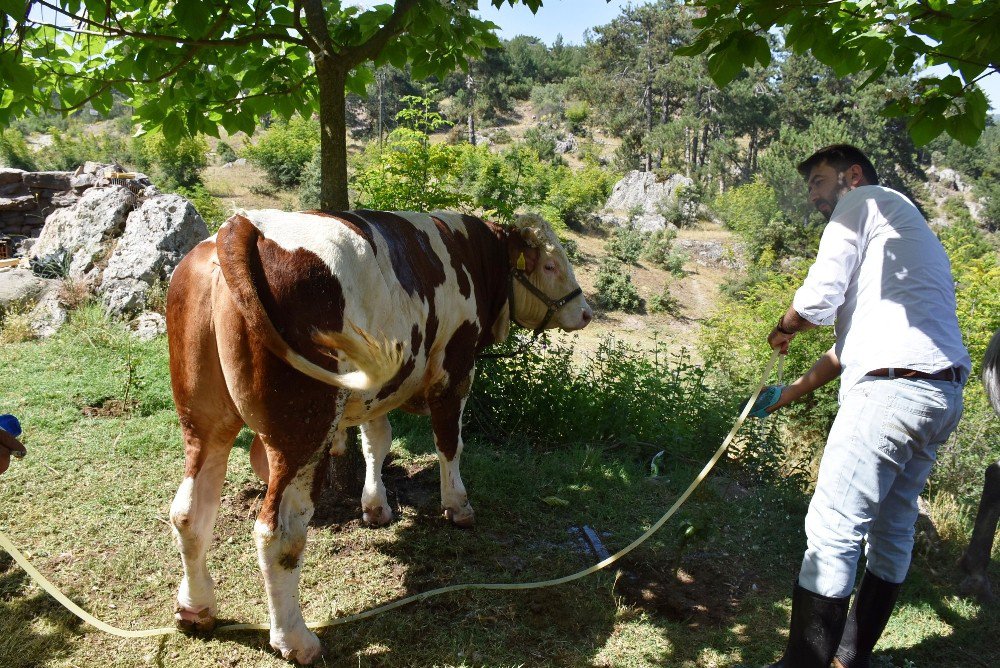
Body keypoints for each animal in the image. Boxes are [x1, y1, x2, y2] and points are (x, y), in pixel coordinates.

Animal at [163, 209, 584, 664]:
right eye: (550, 265)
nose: (585, 310)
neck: (469, 253)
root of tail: (243, 226)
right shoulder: (455, 369)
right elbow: (449, 443)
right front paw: (457, 506)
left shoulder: (377, 390)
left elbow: (377, 442)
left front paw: (375, 506)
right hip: (301, 433)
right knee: (279, 534)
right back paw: (296, 640)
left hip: (203, 420)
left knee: (189, 512)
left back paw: (196, 608)